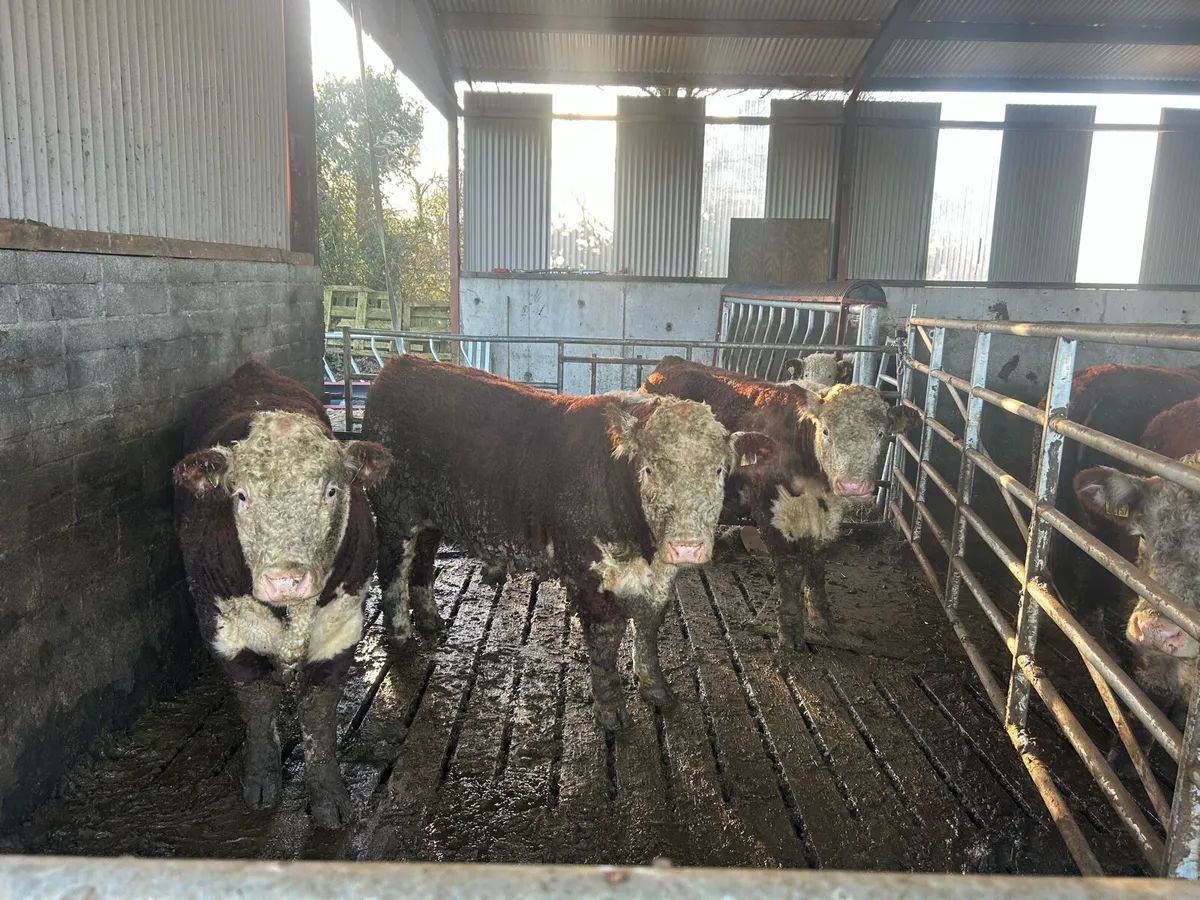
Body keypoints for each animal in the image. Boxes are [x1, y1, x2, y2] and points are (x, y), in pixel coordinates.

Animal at [173, 361, 392, 828]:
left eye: (331, 490)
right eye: (241, 494)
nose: (285, 580)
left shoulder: (342, 623)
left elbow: (319, 712)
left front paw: (328, 795)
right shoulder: (220, 624)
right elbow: (256, 701)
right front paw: (261, 779)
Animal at [361, 356, 774, 729]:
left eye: (719, 470)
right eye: (649, 469)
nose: (686, 547)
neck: (645, 548)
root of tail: (401, 364)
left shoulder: (659, 577)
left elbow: (648, 627)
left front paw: (656, 688)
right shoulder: (589, 571)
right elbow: (606, 638)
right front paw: (610, 710)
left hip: (430, 515)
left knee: (424, 558)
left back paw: (430, 619)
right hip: (394, 509)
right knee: (393, 567)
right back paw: (401, 636)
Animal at [643, 356, 917, 648]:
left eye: (880, 434)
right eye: (826, 431)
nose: (853, 485)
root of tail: (671, 362)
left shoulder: (826, 513)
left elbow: (816, 561)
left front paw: (820, 616)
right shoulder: (768, 504)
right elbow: (789, 566)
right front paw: (790, 628)